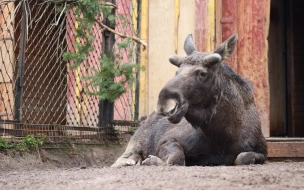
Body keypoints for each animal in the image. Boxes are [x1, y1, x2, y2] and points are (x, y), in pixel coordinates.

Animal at [111, 33, 266, 167]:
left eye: (202, 73)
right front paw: (152, 160)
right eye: (177, 72)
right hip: (135, 142)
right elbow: (177, 158)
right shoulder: (167, 140)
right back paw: (131, 160)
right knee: (121, 159)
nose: (163, 103)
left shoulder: (262, 151)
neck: (223, 136)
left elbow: (243, 157)